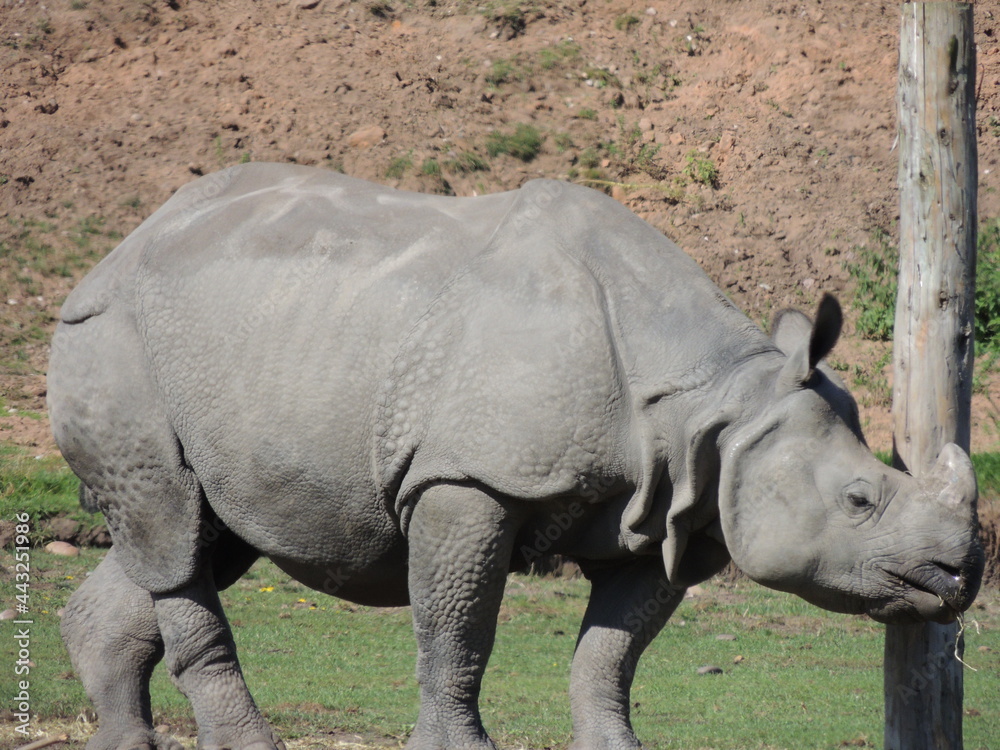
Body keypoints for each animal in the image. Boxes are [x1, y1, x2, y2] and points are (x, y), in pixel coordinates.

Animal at [48, 163, 983, 750]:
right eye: (860, 502)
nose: (961, 575)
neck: (717, 401)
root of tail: (113, 252)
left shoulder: (671, 505)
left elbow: (612, 649)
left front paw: (616, 745)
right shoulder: (467, 479)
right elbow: (457, 626)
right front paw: (455, 747)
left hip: (253, 343)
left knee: (197, 534)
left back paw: (125, 740)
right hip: (114, 335)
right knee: (171, 529)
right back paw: (247, 745)